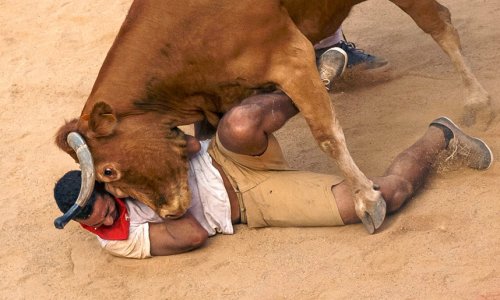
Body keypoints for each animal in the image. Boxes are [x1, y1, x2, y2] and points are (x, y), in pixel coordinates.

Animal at [54, 0, 492, 234]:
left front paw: (367, 199)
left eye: (108, 171)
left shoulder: (290, 57)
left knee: (440, 24)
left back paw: (479, 101)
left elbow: (326, 132)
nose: (171, 214)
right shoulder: (222, 99)